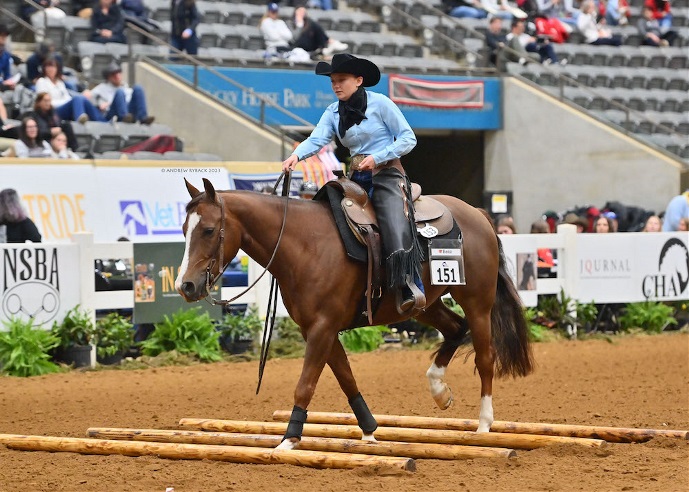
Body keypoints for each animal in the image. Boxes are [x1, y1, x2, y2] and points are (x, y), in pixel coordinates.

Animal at [175, 180, 528, 450]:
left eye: (209, 230)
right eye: (183, 229)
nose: (185, 285)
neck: (306, 244)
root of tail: (478, 214)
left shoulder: (322, 327)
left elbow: (306, 383)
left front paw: (289, 439)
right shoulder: (317, 328)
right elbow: (345, 376)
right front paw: (369, 430)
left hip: (477, 300)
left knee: (485, 356)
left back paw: (484, 425)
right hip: (424, 304)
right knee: (455, 328)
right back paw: (439, 391)